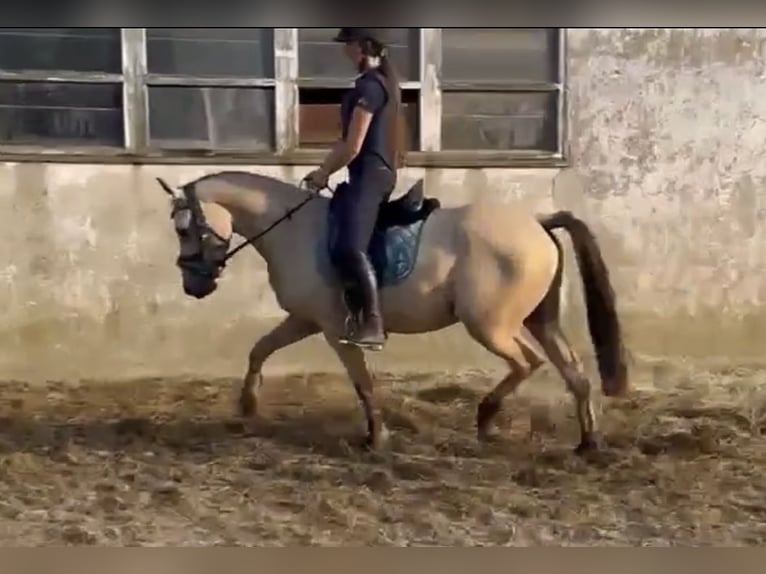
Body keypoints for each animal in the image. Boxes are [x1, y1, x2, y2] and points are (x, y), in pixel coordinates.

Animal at [156, 171, 632, 454]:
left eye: (184, 229)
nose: (194, 286)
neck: (294, 230)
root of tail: (538, 222)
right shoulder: (306, 320)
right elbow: (259, 349)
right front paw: (248, 404)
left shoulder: (334, 328)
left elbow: (362, 381)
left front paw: (376, 436)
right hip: (536, 320)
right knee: (573, 373)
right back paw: (587, 443)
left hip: (490, 325)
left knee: (527, 363)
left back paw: (485, 419)